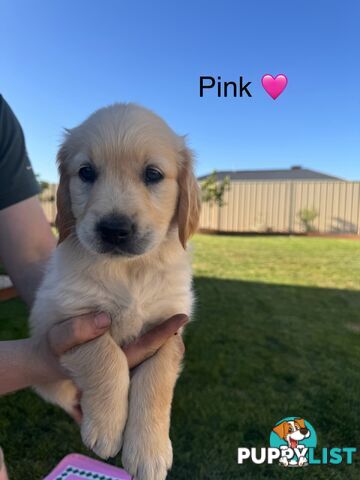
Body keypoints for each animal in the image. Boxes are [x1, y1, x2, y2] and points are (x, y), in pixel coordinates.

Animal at [29, 104, 201, 480]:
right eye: (86, 172)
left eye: (153, 174)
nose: (114, 229)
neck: (129, 271)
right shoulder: (63, 316)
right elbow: (106, 355)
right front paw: (107, 427)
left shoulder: (170, 325)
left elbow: (157, 380)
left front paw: (149, 450)